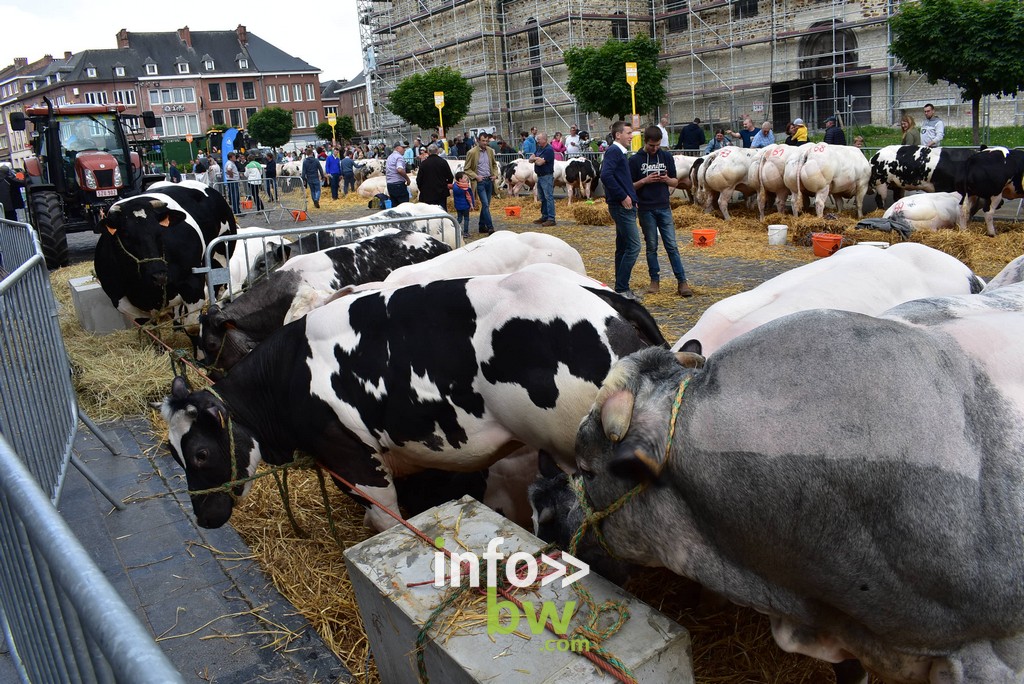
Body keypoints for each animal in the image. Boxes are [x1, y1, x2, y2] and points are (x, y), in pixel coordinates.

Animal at [95, 180, 236, 321]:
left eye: (160, 232)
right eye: (125, 235)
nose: (159, 275)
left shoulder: (193, 287)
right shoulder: (123, 303)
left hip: (222, 255)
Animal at [163, 264, 667, 532]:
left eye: (202, 453)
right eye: (174, 455)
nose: (204, 517)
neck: (288, 374)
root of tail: (604, 298)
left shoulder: (355, 459)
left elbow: (388, 522)